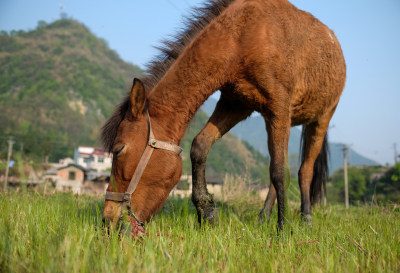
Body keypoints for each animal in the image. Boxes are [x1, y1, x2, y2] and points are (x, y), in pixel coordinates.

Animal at [101, 0, 346, 234]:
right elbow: (200, 146)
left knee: (304, 171)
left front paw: (283, 230)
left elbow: (280, 172)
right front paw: (206, 212)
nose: (107, 222)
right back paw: (263, 217)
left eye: (119, 150)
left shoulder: (279, 107)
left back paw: (306, 219)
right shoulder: (235, 105)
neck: (242, 37)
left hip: (322, 118)